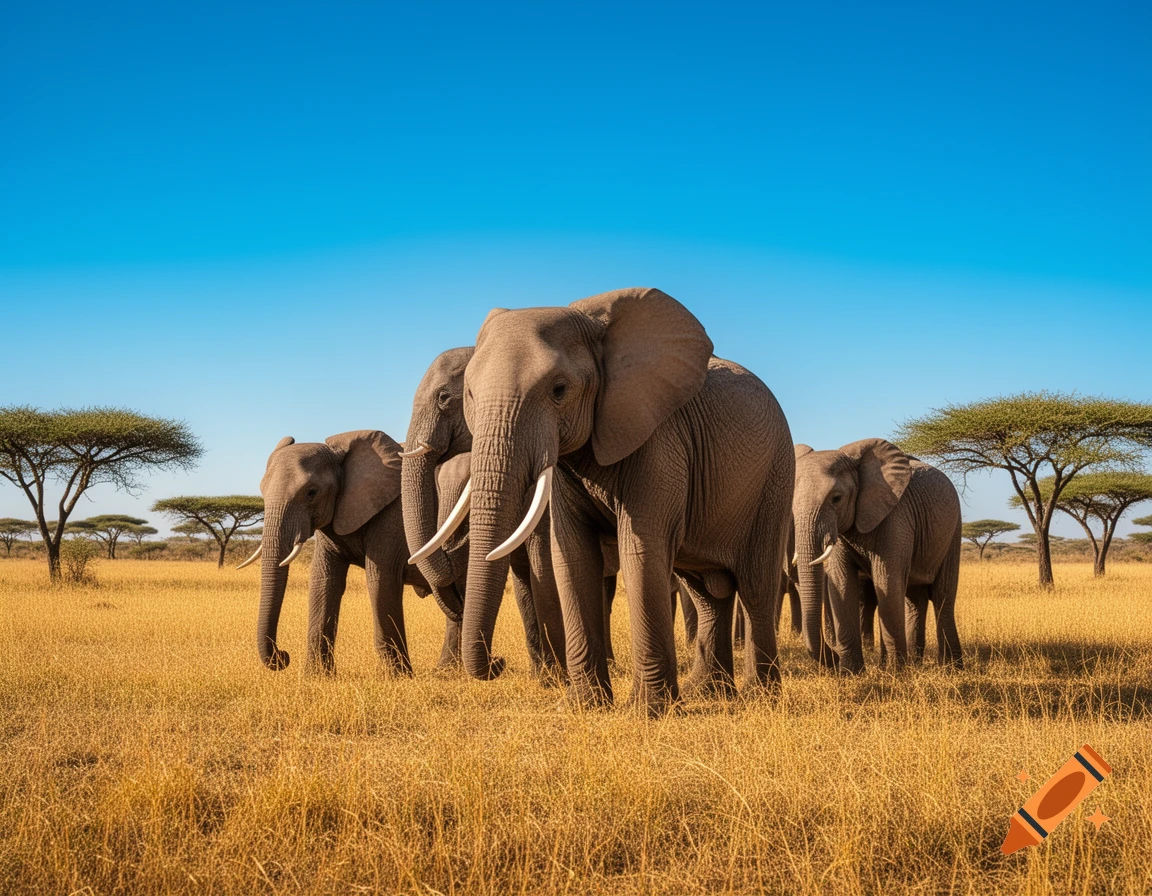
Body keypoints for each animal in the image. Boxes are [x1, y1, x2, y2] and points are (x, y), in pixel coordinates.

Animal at [242, 429, 463, 675]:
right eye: (262, 491)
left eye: (311, 493)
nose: (283, 656)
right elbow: (324, 580)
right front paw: (317, 677)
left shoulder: (394, 516)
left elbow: (381, 579)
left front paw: (399, 677)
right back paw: (447, 673)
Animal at [415, 287, 794, 716]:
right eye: (469, 395)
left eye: (559, 390)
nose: (499, 662)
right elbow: (572, 555)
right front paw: (584, 706)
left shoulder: (660, 441)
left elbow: (641, 551)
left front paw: (648, 713)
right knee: (708, 592)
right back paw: (707, 692)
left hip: (775, 478)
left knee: (755, 585)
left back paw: (761, 699)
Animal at [792, 439, 963, 673]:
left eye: (836, 498)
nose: (833, 658)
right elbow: (842, 583)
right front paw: (851, 673)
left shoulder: (897, 517)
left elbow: (887, 581)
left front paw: (896, 673)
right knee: (914, 599)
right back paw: (915, 663)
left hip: (953, 530)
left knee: (942, 596)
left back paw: (951, 668)